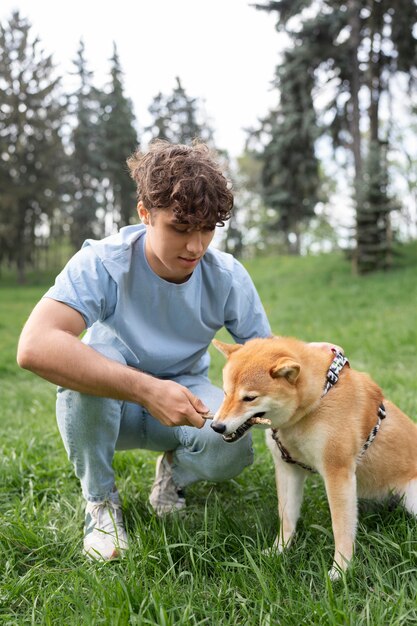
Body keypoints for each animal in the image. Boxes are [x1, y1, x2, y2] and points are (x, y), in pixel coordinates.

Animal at [211, 334, 416, 576]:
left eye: (249, 398)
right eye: (225, 392)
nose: (216, 426)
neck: (317, 401)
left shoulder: (337, 472)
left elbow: (341, 528)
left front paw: (340, 571)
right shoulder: (287, 469)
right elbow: (287, 517)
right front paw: (278, 551)